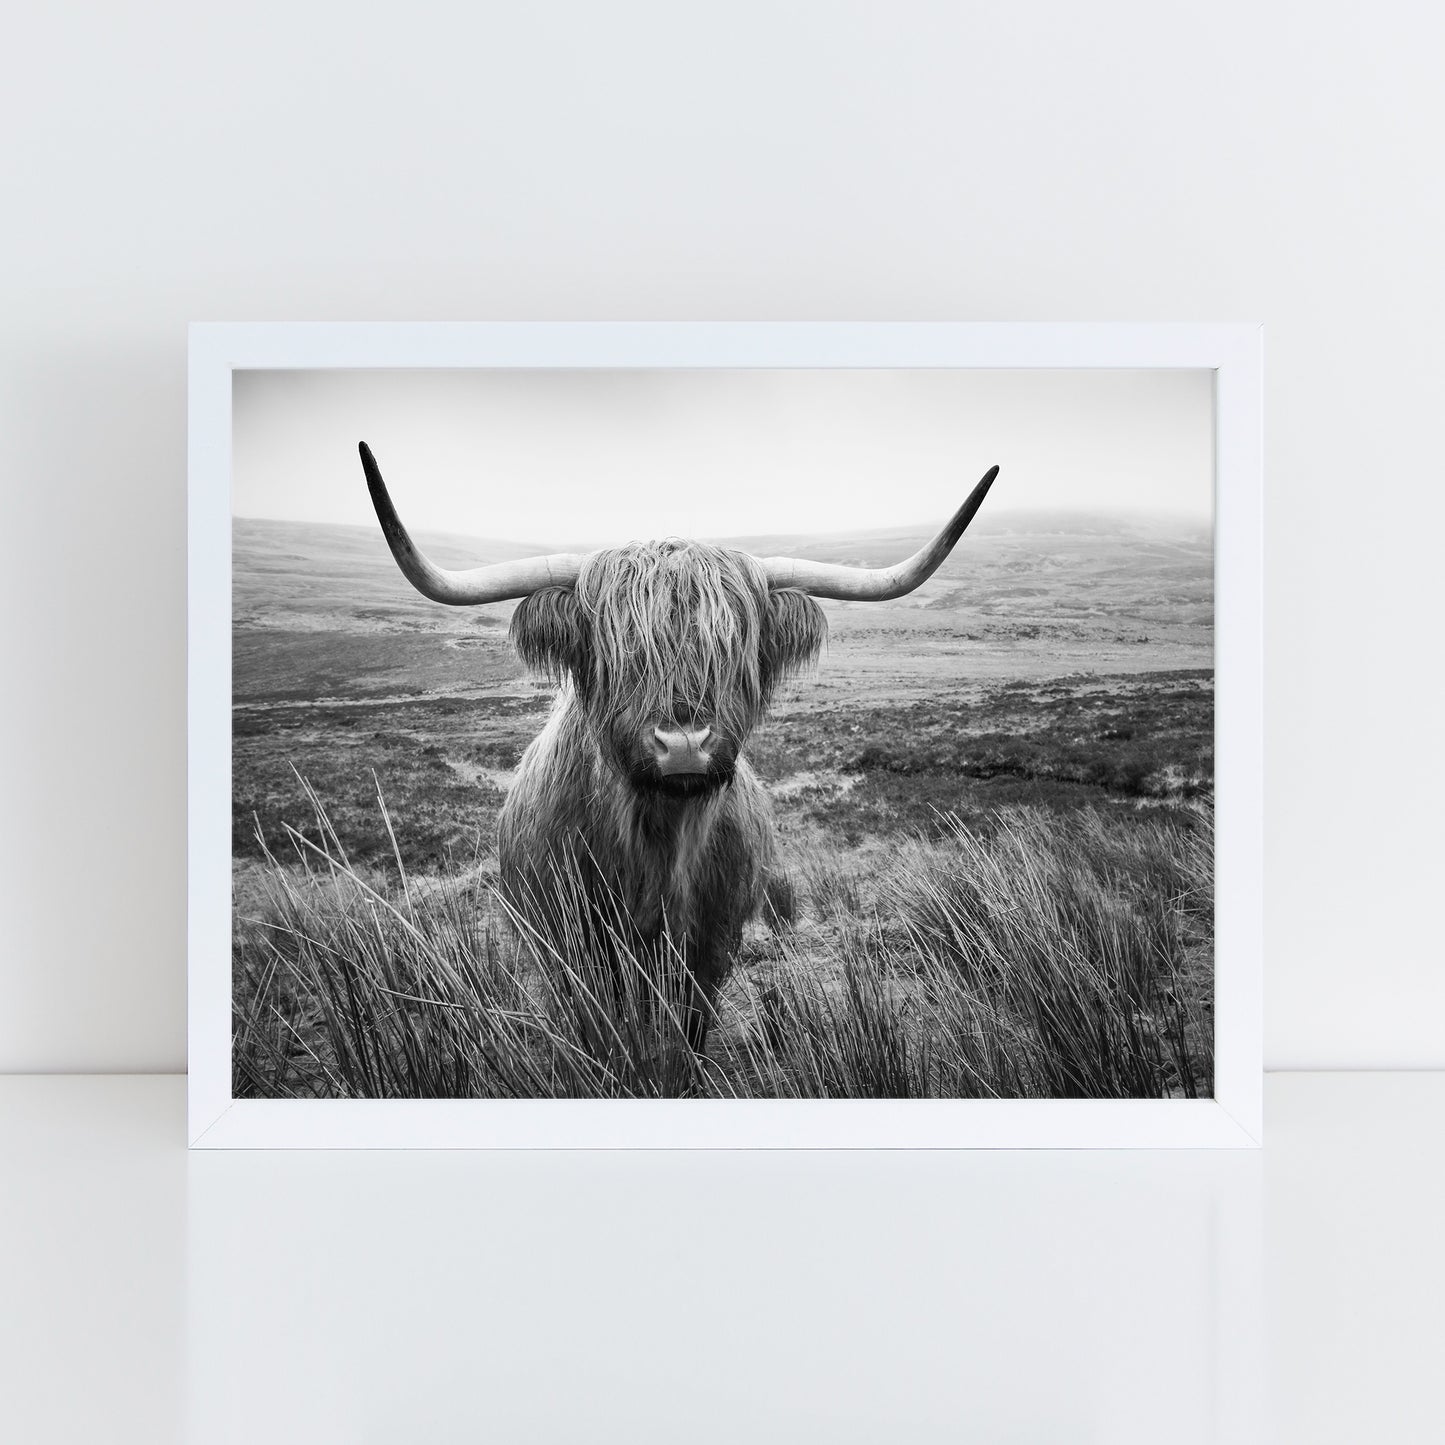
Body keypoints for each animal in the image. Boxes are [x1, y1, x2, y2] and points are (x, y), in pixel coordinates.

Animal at [359, 442, 998, 1054]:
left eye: (734, 645)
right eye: (617, 649)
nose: (684, 743)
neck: (658, 843)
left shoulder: (714, 942)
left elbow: (689, 1031)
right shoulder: (575, 945)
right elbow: (602, 1031)